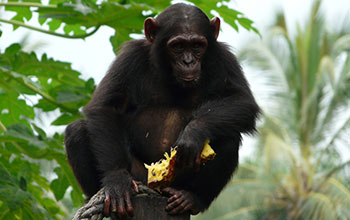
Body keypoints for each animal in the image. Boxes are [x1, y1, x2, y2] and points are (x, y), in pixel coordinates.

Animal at [64, 3, 260, 218]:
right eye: (178, 46)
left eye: (197, 45)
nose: (188, 61)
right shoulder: (129, 57)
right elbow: (106, 106)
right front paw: (117, 182)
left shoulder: (224, 58)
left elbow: (242, 101)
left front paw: (194, 132)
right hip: (139, 176)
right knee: (77, 130)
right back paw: (101, 200)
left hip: (176, 182)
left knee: (229, 138)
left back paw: (191, 198)